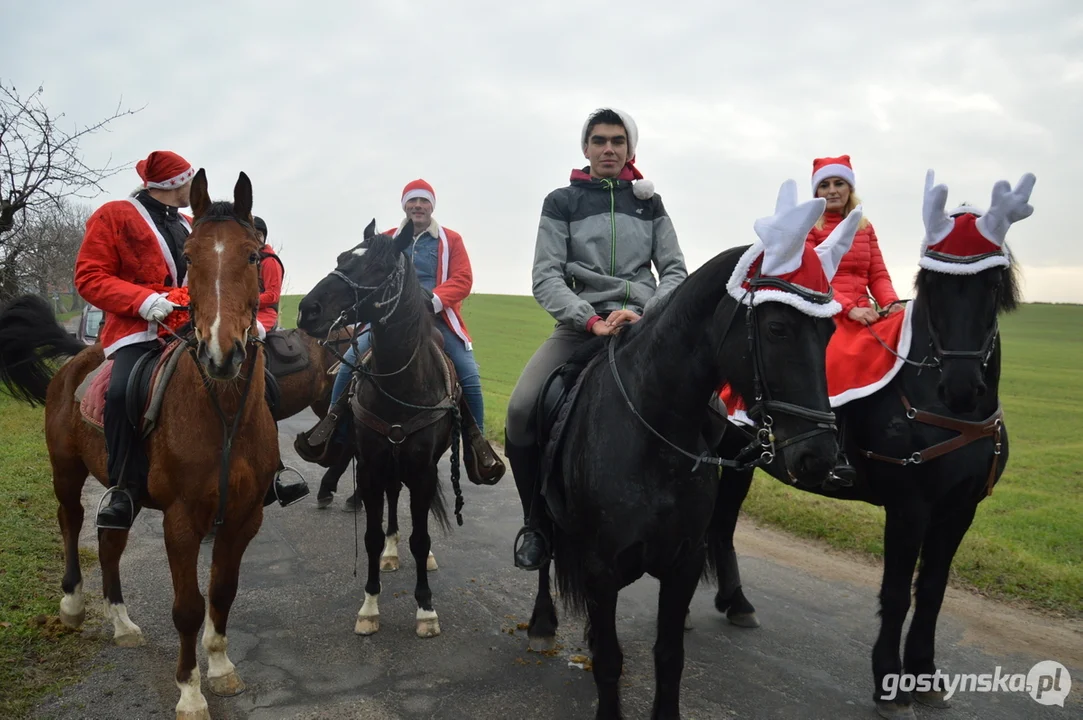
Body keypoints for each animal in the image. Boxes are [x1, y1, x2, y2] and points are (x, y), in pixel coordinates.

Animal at [2, 169, 279, 718]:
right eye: (191, 256)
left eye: (253, 256)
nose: (221, 354)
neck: (223, 410)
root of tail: (81, 355)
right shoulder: (181, 521)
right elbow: (189, 608)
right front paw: (190, 692)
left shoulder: (243, 517)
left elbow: (223, 592)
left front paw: (221, 669)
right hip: (66, 472)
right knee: (72, 522)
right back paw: (73, 604)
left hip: (121, 490)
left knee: (110, 542)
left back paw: (123, 624)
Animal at [296, 217, 461, 636]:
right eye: (342, 257)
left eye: (380, 267)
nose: (307, 310)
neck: (400, 384)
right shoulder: (371, 466)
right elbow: (370, 536)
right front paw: (370, 605)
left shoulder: (422, 469)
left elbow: (421, 537)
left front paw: (425, 608)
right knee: (391, 496)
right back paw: (390, 549)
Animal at [526, 182, 862, 714]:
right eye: (777, 328)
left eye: (829, 331)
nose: (821, 457)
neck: (652, 436)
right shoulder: (601, 568)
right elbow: (610, 662)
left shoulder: (681, 565)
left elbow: (669, 657)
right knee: (543, 554)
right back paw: (541, 621)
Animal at [706, 169, 1035, 718]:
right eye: (934, 285)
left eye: (990, 285)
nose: (961, 388)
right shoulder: (909, 507)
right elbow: (898, 593)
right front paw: (890, 683)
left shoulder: (958, 509)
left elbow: (933, 591)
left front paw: (925, 674)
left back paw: (735, 602)